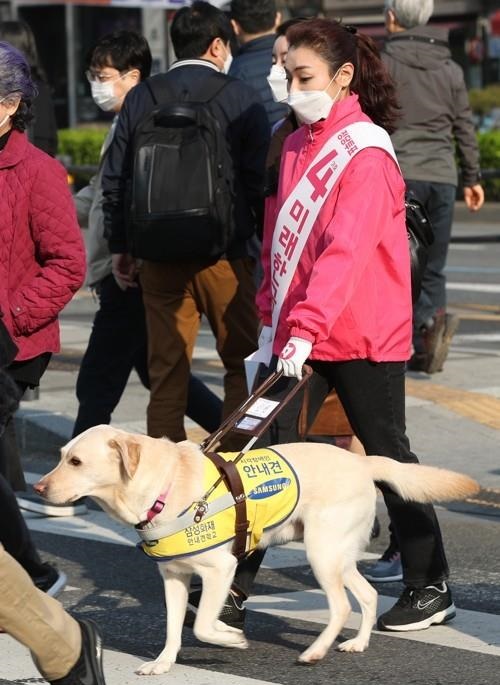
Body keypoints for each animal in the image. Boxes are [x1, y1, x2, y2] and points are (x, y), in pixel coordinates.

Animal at [33, 424, 478, 676]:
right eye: (61, 457)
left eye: (76, 461)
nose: (38, 487)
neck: (161, 488)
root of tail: (362, 462)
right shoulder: (174, 577)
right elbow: (174, 628)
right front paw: (163, 662)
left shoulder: (220, 569)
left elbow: (202, 624)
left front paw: (231, 639)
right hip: (338, 554)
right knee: (366, 596)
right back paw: (357, 643)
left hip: (321, 552)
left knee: (341, 607)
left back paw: (315, 652)